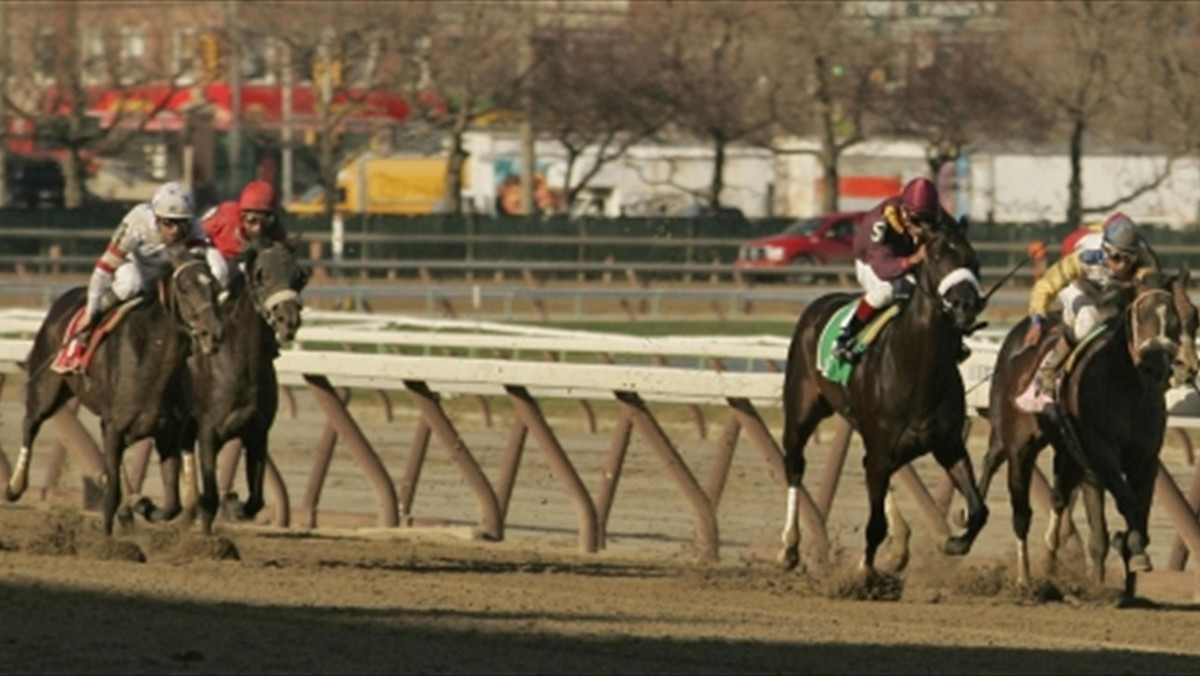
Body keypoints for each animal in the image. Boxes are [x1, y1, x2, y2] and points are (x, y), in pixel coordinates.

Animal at [8, 246, 223, 537]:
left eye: (214, 287)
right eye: (185, 287)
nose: (214, 333)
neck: (151, 361)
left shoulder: (167, 434)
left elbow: (172, 504)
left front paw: (142, 504)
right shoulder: (114, 427)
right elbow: (111, 494)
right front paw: (106, 537)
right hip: (47, 388)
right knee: (30, 422)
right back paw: (14, 486)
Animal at [181, 237, 307, 535]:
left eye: (300, 275)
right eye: (262, 274)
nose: (288, 320)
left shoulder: (257, 433)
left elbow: (255, 500)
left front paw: (235, 504)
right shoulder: (208, 430)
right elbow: (209, 498)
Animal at [772, 219, 988, 573]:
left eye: (974, 258)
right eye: (937, 256)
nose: (965, 304)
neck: (917, 366)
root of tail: (818, 303)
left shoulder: (948, 445)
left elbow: (979, 509)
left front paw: (954, 542)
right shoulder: (883, 448)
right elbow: (874, 524)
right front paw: (866, 571)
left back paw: (900, 544)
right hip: (801, 411)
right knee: (794, 464)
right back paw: (789, 546)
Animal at [979, 272, 1185, 590]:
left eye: (1177, 319)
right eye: (1140, 316)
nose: (1157, 367)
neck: (1128, 390)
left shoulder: (1145, 459)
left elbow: (1140, 505)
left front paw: (1131, 546)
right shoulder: (1099, 454)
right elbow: (1124, 503)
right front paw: (1129, 546)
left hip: (1065, 453)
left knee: (1058, 497)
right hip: (1018, 444)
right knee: (1017, 504)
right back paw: (1020, 573)